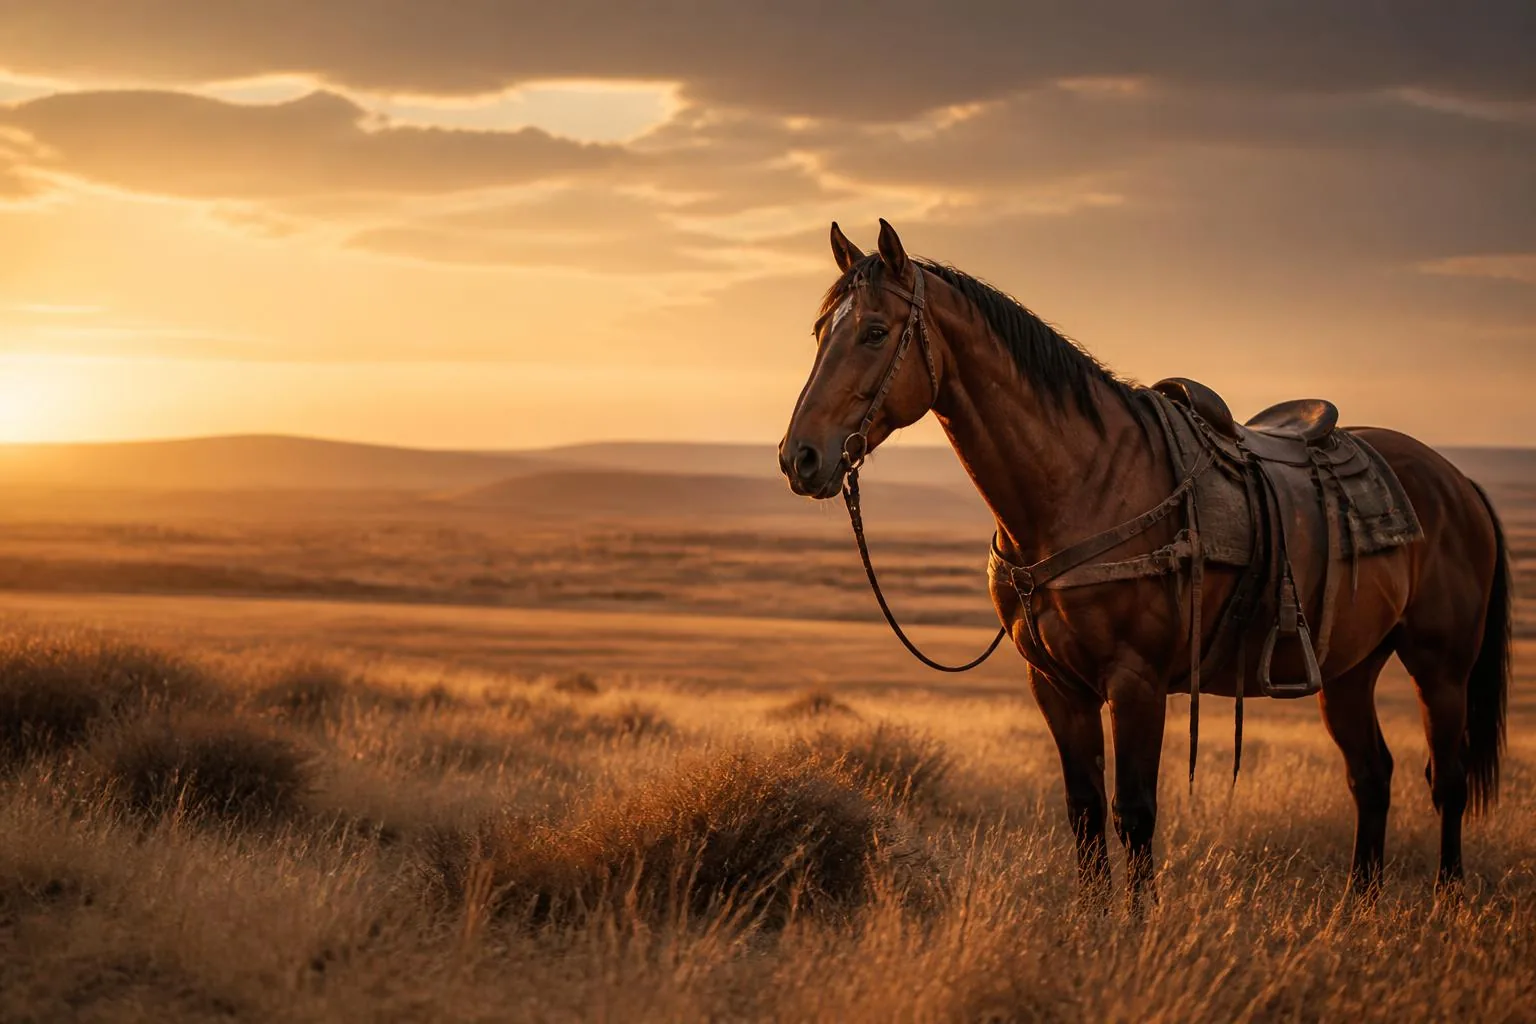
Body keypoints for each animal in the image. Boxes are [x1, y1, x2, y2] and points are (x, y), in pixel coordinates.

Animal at [779, 219, 1511, 906]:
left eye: (875, 332)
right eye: (818, 331)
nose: (799, 457)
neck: (1082, 482)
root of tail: (1458, 482)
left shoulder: (1137, 682)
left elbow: (1134, 813)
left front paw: (1135, 925)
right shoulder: (1057, 686)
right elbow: (1083, 812)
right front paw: (1093, 924)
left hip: (1441, 668)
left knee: (1446, 779)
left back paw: (1446, 900)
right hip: (1350, 669)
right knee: (1372, 774)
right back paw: (1361, 904)